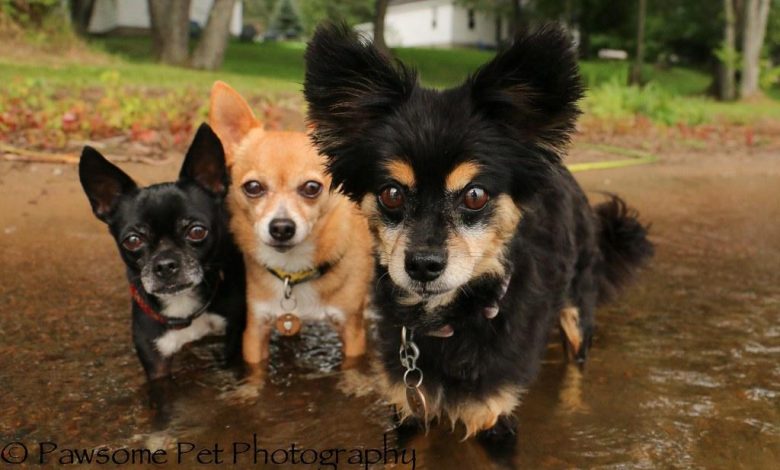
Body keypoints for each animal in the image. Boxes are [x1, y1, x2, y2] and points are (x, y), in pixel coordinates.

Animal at [304, 23, 652, 440]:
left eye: (474, 195)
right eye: (391, 193)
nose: (423, 265)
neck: (448, 320)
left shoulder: (493, 411)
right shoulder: (405, 403)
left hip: (577, 313)